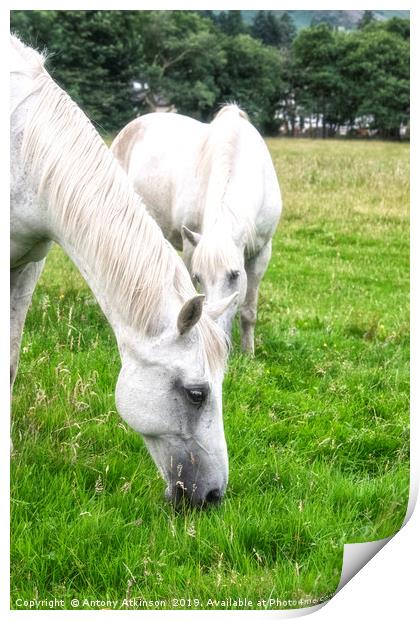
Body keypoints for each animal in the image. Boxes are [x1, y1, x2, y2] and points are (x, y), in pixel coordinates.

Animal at [110, 105, 282, 354]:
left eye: (235, 275)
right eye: (199, 276)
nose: (221, 340)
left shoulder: (261, 252)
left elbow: (249, 310)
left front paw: (248, 353)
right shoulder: (191, 248)